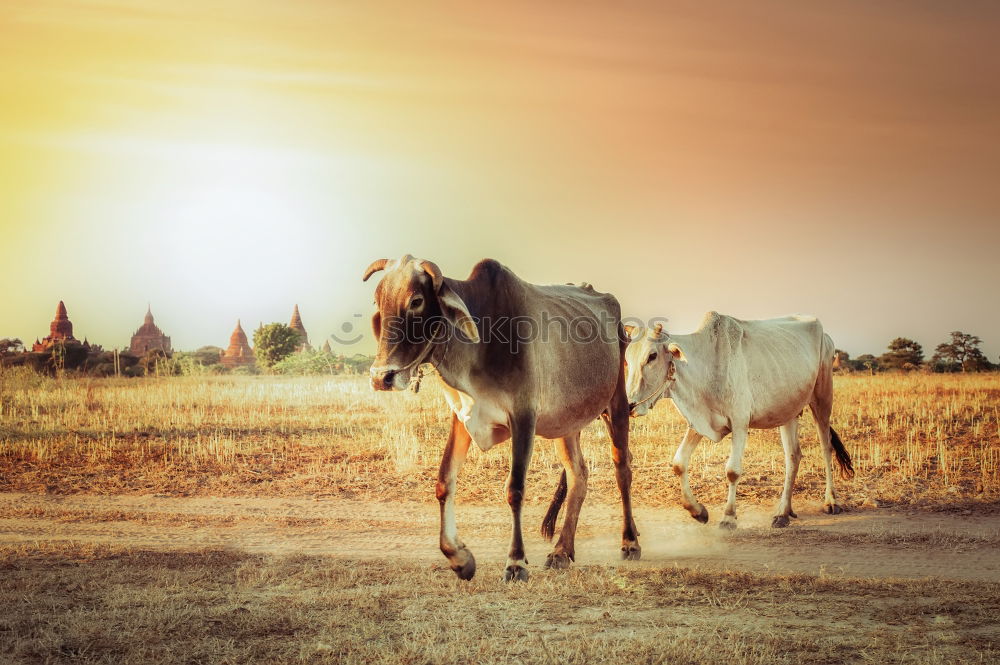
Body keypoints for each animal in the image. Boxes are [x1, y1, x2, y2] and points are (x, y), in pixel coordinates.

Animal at [362, 254, 640, 580]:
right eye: (378, 301)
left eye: (416, 300)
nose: (381, 377)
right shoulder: (463, 416)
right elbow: (444, 481)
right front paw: (459, 558)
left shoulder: (524, 416)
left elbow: (515, 489)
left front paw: (516, 562)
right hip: (567, 423)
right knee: (578, 475)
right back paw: (561, 551)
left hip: (616, 404)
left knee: (623, 470)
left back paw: (630, 542)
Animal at [624, 312, 852, 528]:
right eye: (627, 359)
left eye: (652, 356)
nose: (630, 405)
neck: (709, 364)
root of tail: (825, 335)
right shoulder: (698, 423)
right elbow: (679, 463)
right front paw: (698, 511)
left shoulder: (740, 423)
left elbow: (732, 471)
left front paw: (729, 517)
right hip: (789, 410)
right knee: (793, 456)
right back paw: (783, 512)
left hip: (823, 399)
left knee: (826, 447)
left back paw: (831, 501)